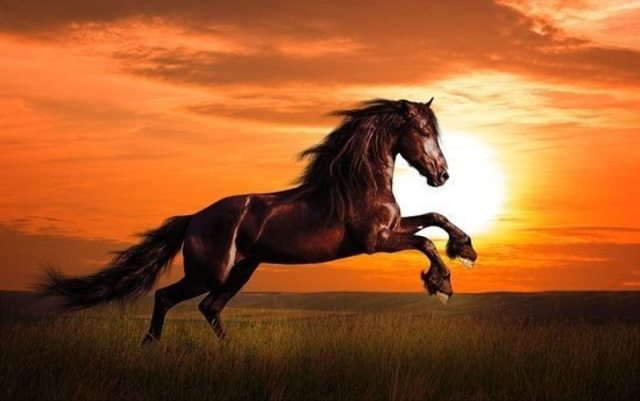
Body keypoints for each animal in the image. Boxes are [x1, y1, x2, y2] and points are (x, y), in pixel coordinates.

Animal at [38, 97, 477, 344]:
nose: (442, 175)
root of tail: (193, 219)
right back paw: (150, 346)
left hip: (241, 270)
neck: (358, 184)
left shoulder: (392, 229)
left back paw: (228, 353)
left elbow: (435, 217)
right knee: (167, 297)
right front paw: (442, 284)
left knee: (210, 308)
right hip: (210, 272)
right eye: (422, 131)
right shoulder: (376, 241)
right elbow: (425, 241)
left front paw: (466, 250)